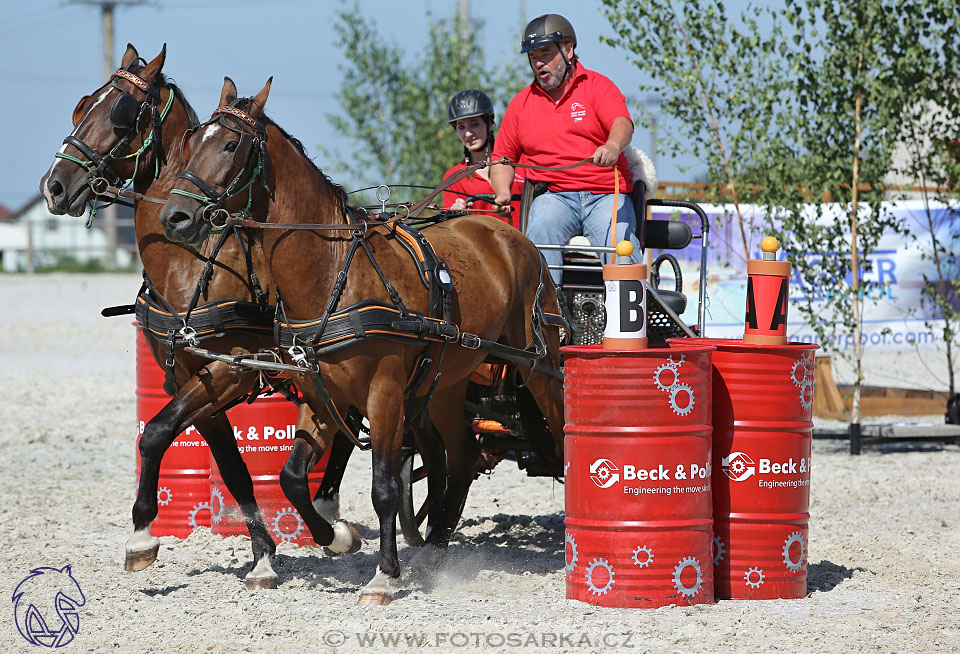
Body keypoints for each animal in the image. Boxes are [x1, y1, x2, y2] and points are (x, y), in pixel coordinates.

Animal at [37, 44, 360, 588]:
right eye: (82, 106)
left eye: (121, 114)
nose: (55, 187)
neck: (194, 262)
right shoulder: (191, 379)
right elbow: (232, 470)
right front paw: (263, 556)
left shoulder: (230, 370)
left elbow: (155, 434)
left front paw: (142, 536)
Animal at [157, 79, 564, 608]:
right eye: (189, 144)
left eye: (230, 145)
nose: (175, 217)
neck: (333, 274)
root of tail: (510, 234)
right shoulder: (321, 392)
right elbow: (292, 478)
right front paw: (338, 538)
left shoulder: (385, 393)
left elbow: (384, 487)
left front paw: (383, 576)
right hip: (447, 383)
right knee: (461, 458)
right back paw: (434, 550)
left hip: (539, 362)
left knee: (559, 428)